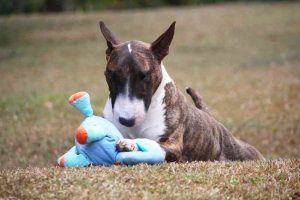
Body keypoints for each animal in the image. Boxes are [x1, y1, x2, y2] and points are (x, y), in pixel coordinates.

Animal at [99, 20, 264, 161]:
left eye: (144, 76)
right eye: (111, 75)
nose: (127, 120)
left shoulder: (174, 145)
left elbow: (151, 142)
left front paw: (129, 143)